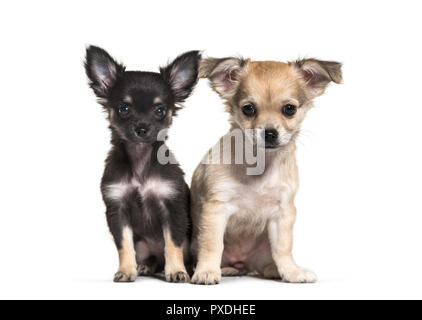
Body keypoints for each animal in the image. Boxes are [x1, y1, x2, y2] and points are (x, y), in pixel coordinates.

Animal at [85, 45, 200, 282]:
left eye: (160, 110)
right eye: (124, 109)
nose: (142, 128)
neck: (140, 158)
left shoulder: (173, 207)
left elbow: (173, 243)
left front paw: (177, 271)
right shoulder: (117, 210)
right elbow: (124, 245)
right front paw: (126, 271)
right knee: (152, 258)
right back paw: (145, 266)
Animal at [191, 56, 342, 284]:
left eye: (289, 109)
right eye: (248, 109)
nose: (270, 133)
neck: (260, 165)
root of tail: (241, 263)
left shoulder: (283, 213)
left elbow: (283, 248)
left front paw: (291, 272)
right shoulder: (215, 209)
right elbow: (212, 245)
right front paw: (207, 271)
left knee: (265, 262)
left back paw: (274, 270)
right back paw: (225, 269)